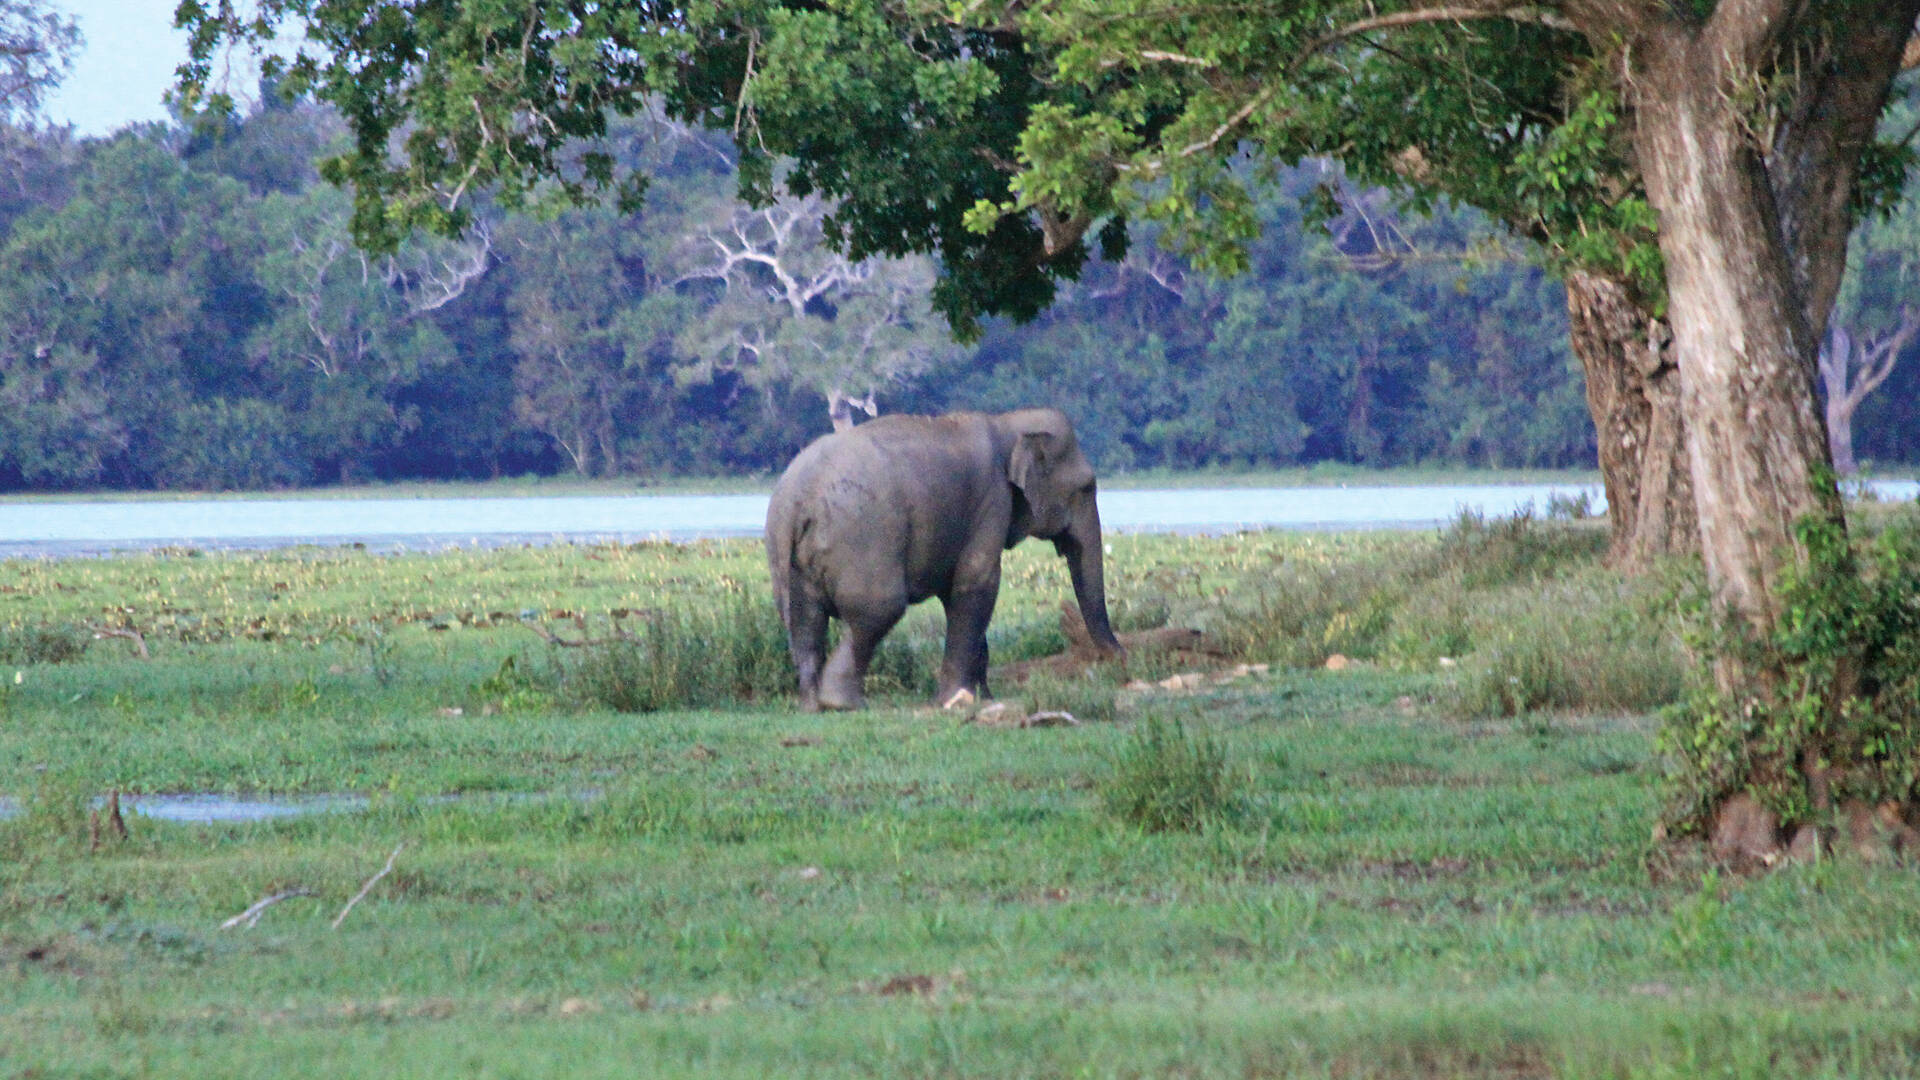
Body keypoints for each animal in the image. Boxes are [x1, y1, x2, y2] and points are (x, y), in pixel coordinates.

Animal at [764, 403, 1121, 707]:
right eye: (1087, 487)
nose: (1119, 658)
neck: (1006, 422)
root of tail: (797, 499)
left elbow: (956, 595)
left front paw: (981, 697)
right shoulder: (991, 501)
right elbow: (978, 583)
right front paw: (954, 700)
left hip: (787, 556)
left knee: (804, 622)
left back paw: (812, 705)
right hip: (861, 539)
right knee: (878, 611)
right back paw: (843, 704)